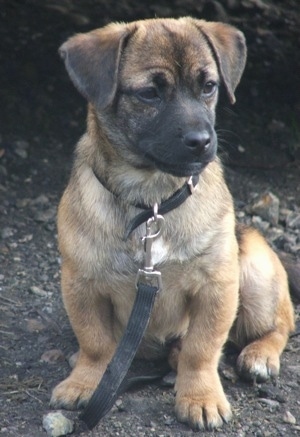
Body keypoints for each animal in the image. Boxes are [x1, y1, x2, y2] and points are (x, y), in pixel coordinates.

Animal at [49, 17, 296, 430]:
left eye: (209, 86)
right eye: (149, 93)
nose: (202, 141)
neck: (153, 199)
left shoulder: (216, 286)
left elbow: (202, 348)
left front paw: (201, 397)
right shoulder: (81, 284)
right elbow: (95, 343)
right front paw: (86, 382)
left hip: (258, 277)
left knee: (281, 325)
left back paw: (260, 355)